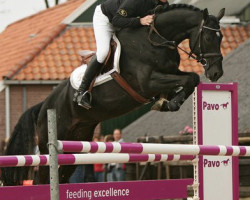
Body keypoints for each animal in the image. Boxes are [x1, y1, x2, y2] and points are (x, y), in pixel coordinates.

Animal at [1, 5, 225, 186]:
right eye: (207, 38)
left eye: (221, 38)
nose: (216, 73)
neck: (155, 40)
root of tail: (43, 104)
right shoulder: (147, 82)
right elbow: (187, 80)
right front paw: (169, 103)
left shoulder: (170, 73)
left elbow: (192, 78)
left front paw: (167, 102)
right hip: (51, 144)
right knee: (42, 177)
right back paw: (82, 97)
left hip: (76, 145)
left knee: (62, 174)